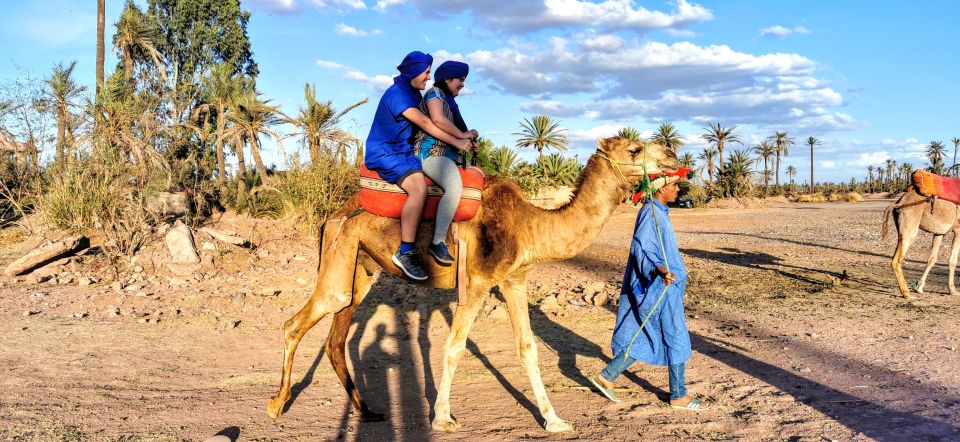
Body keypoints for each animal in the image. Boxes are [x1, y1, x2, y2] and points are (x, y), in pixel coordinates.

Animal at [266, 137, 680, 432]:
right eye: (634, 148)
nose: (673, 155)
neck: (529, 225)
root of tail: (333, 216)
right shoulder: (477, 281)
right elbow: (454, 347)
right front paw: (442, 418)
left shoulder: (514, 280)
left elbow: (528, 348)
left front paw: (555, 420)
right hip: (339, 259)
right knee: (294, 324)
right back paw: (276, 405)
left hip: (361, 269)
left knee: (336, 338)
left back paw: (368, 412)